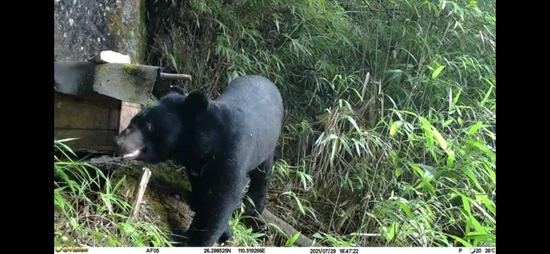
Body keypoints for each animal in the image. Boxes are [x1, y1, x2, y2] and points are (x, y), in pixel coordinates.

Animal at [113, 75, 284, 246]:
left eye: (148, 126)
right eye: (134, 119)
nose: (118, 142)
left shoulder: (232, 151)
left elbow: (223, 197)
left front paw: (196, 240)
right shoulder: (195, 163)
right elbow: (202, 188)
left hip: (268, 143)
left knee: (263, 173)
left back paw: (252, 207)